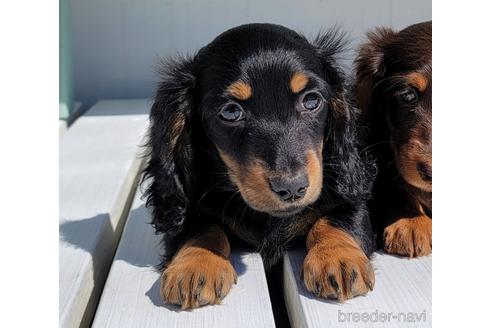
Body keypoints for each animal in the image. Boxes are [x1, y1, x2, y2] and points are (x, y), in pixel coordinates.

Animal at [144, 23, 374, 308]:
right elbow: (202, 226)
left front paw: (337, 258)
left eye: (311, 100)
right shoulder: (187, 208)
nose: (293, 188)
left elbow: (338, 218)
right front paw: (195, 265)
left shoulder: (350, 196)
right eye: (231, 112)